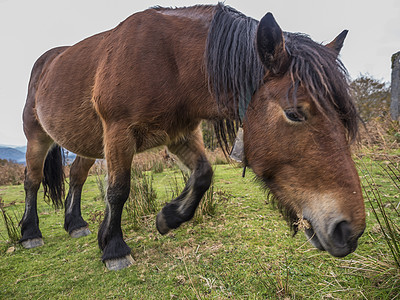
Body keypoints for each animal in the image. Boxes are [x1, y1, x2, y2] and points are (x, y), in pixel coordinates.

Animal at [21, 2, 366, 270]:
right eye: (294, 113)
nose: (349, 230)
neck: (167, 60)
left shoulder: (180, 135)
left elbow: (203, 175)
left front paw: (167, 217)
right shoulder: (119, 132)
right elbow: (118, 190)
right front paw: (115, 249)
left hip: (89, 145)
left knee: (77, 177)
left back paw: (75, 225)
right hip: (37, 138)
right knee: (32, 181)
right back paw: (30, 233)